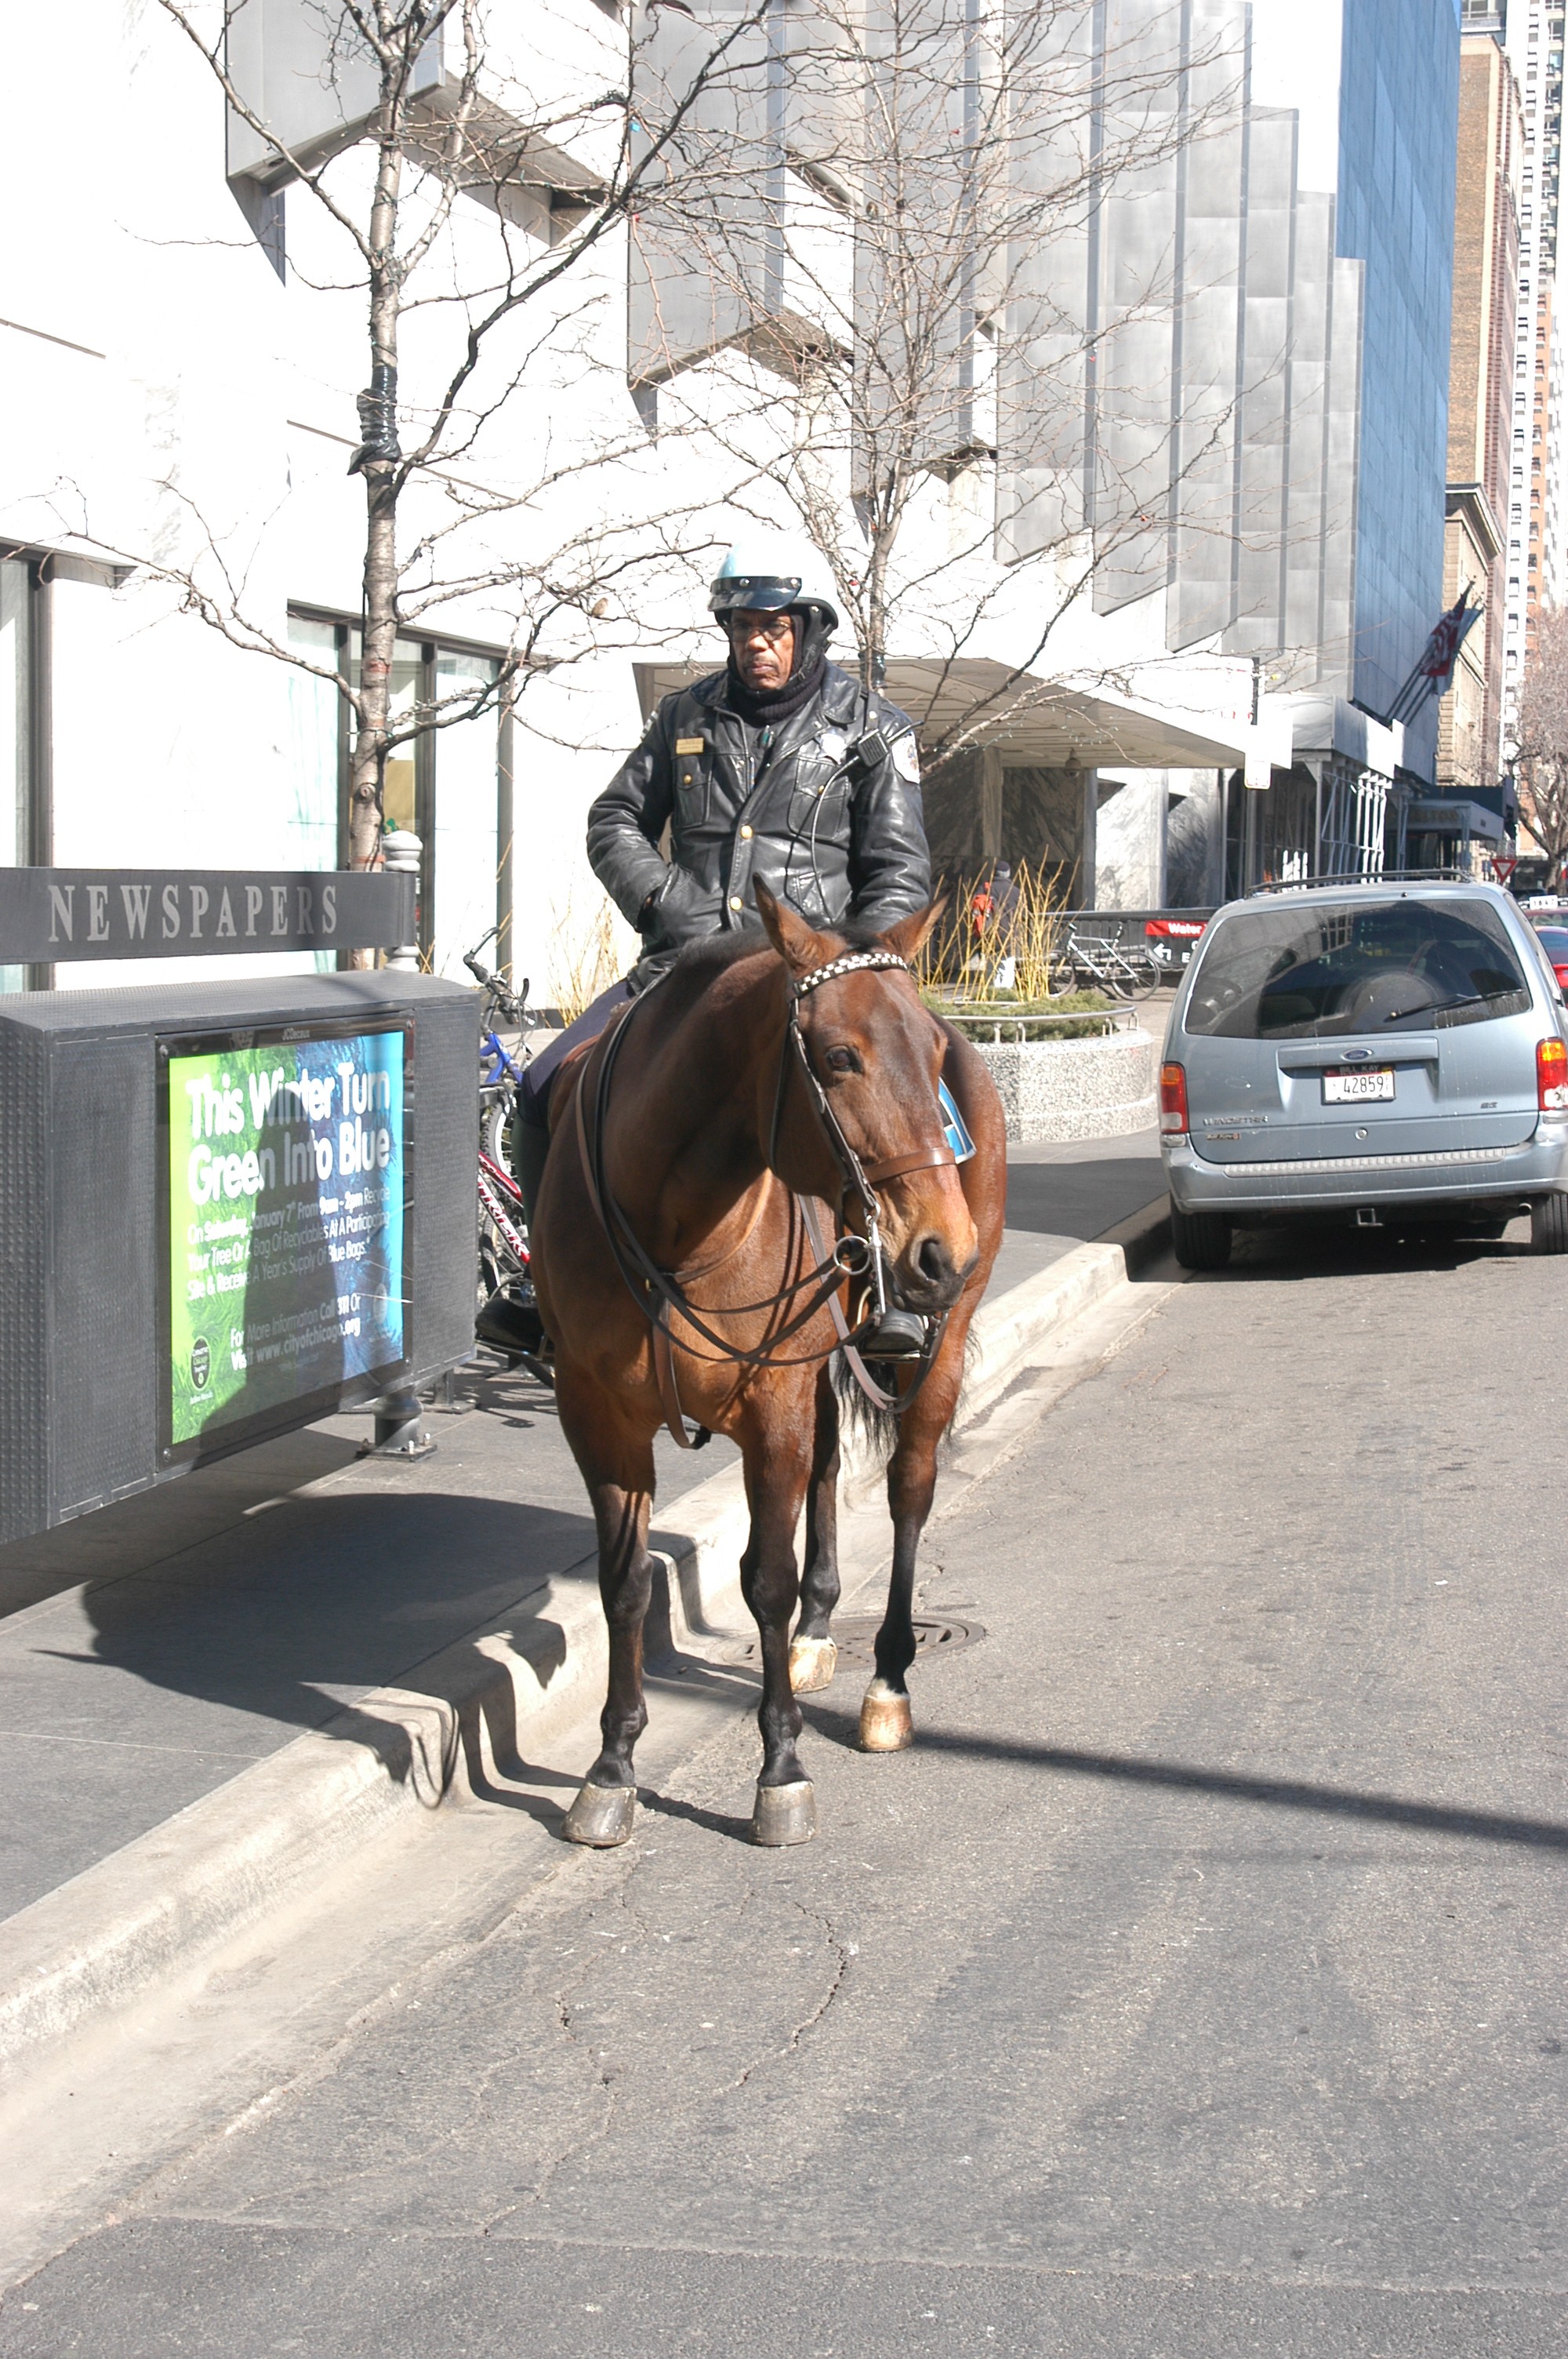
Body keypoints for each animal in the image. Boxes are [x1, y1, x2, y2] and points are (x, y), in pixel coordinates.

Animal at [532, 882, 1006, 1847]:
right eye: (839, 1055)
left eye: (931, 1055)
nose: (943, 1251)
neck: (679, 1223)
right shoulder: (595, 1412)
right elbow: (624, 1585)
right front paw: (612, 1765)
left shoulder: (771, 1408)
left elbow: (766, 1580)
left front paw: (780, 1768)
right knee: (828, 1475)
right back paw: (821, 1634)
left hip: (929, 1357)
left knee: (907, 1489)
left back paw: (886, 1682)